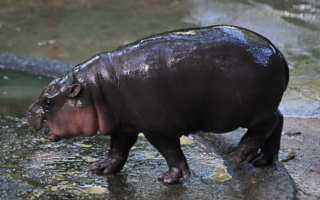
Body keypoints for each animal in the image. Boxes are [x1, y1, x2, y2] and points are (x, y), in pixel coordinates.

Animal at [26, 25, 288, 184]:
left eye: (48, 102)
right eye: (44, 93)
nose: (28, 112)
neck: (94, 89)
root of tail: (279, 54)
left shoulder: (156, 128)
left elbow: (171, 152)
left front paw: (169, 179)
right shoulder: (124, 124)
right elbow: (117, 148)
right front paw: (101, 168)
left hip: (247, 111)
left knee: (268, 123)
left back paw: (241, 155)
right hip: (263, 106)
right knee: (279, 119)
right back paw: (263, 160)